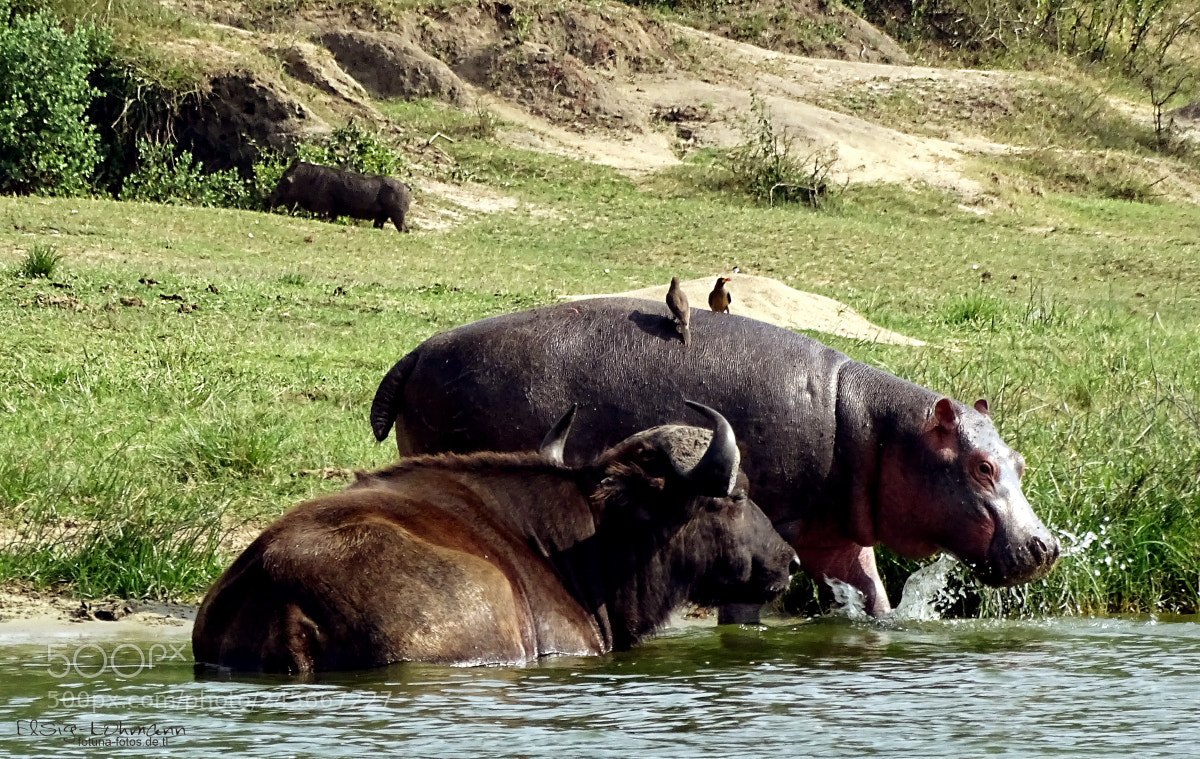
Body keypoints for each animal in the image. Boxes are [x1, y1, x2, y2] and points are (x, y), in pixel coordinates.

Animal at [370, 298, 1060, 618]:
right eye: (981, 467)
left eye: (1019, 460)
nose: (1047, 546)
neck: (883, 430)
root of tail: (415, 351)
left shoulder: (838, 534)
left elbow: (871, 593)